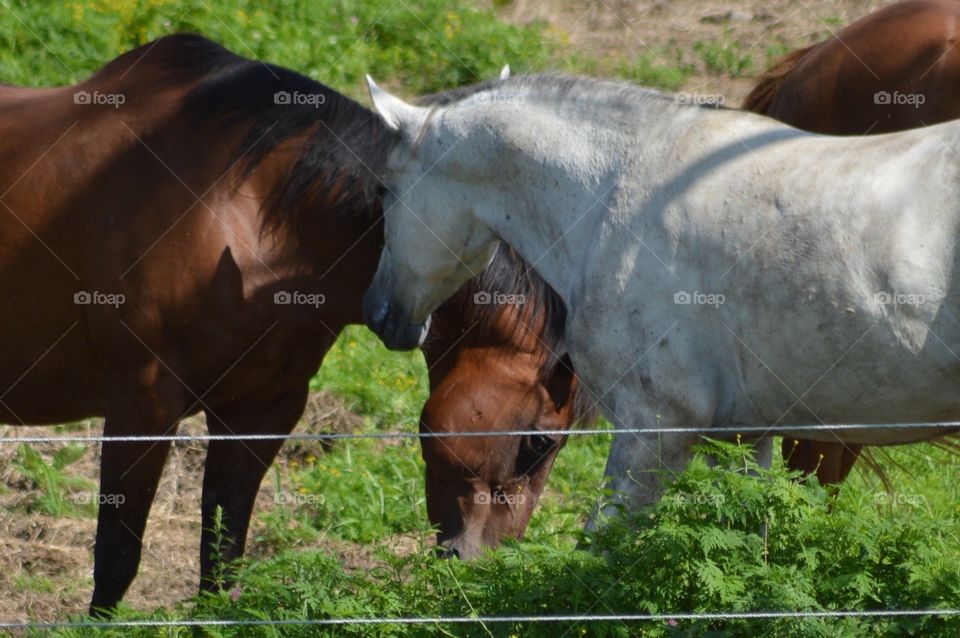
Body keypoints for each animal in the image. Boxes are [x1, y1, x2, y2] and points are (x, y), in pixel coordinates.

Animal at [0, 35, 580, 616]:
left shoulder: (262, 408)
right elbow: (116, 562)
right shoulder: (141, 406)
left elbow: (222, 565)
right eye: (539, 443)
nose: (486, 567)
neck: (241, 218)